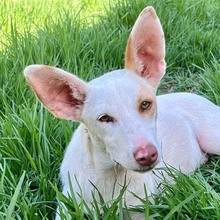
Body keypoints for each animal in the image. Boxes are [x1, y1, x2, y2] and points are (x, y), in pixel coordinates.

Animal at [23, 6, 220, 219]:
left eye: (145, 104)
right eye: (104, 118)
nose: (147, 155)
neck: (110, 176)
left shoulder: (142, 208)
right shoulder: (68, 204)